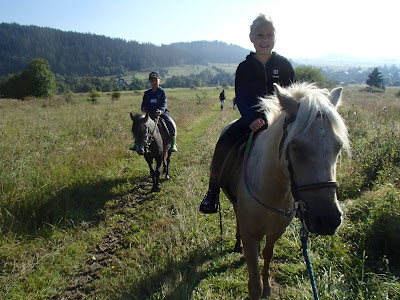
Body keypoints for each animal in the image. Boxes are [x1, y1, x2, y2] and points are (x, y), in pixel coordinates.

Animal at [220, 82, 348, 298]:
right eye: (295, 145)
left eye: (338, 146)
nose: (328, 220)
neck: (272, 192)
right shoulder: (251, 235)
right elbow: (254, 285)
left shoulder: (276, 231)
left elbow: (268, 254)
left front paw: (267, 287)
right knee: (237, 215)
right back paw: (238, 243)